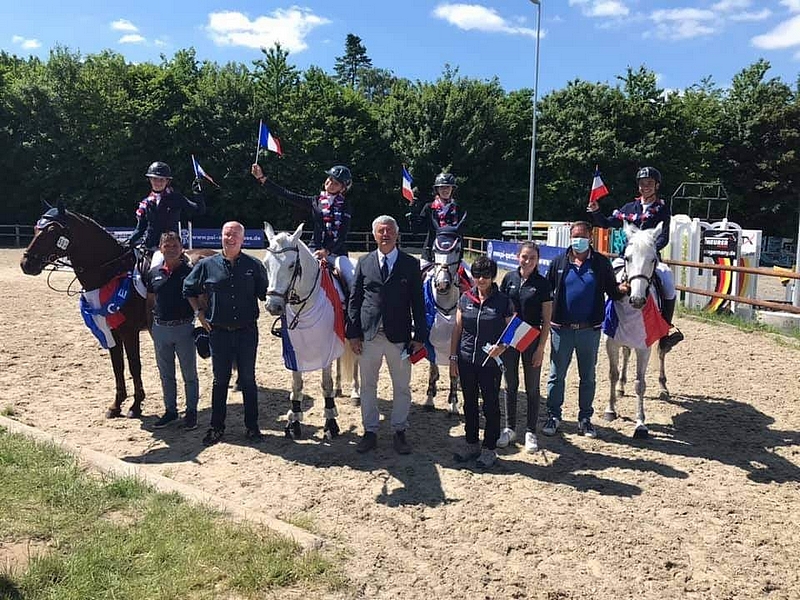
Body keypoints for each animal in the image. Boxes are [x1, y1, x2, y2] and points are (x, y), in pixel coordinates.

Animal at [262, 224, 360, 440]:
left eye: (292, 265)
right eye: (265, 264)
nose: (273, 306)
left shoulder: (326, 348)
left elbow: (326, 385)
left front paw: (331, 423)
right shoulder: (294, 350)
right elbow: (296, 385)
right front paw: (294, 422)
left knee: (356, 363)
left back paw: (356, 393)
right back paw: (340, 388)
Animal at [604, 223, 672, 438]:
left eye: (653, 259)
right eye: (627, 258)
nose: (637, 300)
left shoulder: (644, 346)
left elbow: (640, 384)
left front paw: (641, 423)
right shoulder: (612, 341)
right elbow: (613, 373)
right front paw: (610, 410)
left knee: (662, 353)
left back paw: (663, 386)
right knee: (626, 355)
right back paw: (620, 387)